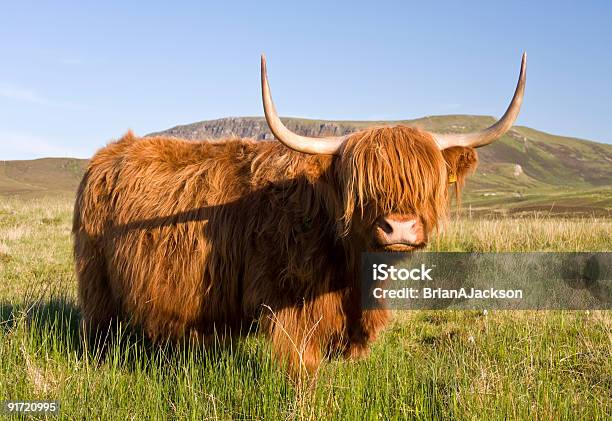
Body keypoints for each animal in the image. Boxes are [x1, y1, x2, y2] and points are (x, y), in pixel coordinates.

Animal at [74, 53, 524, 374]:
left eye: (425, 183)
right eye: (361, 185)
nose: (399, 228)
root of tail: (107, 153)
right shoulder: (288, 303)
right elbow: (302, 369)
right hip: (96, 282)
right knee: (100, 330)